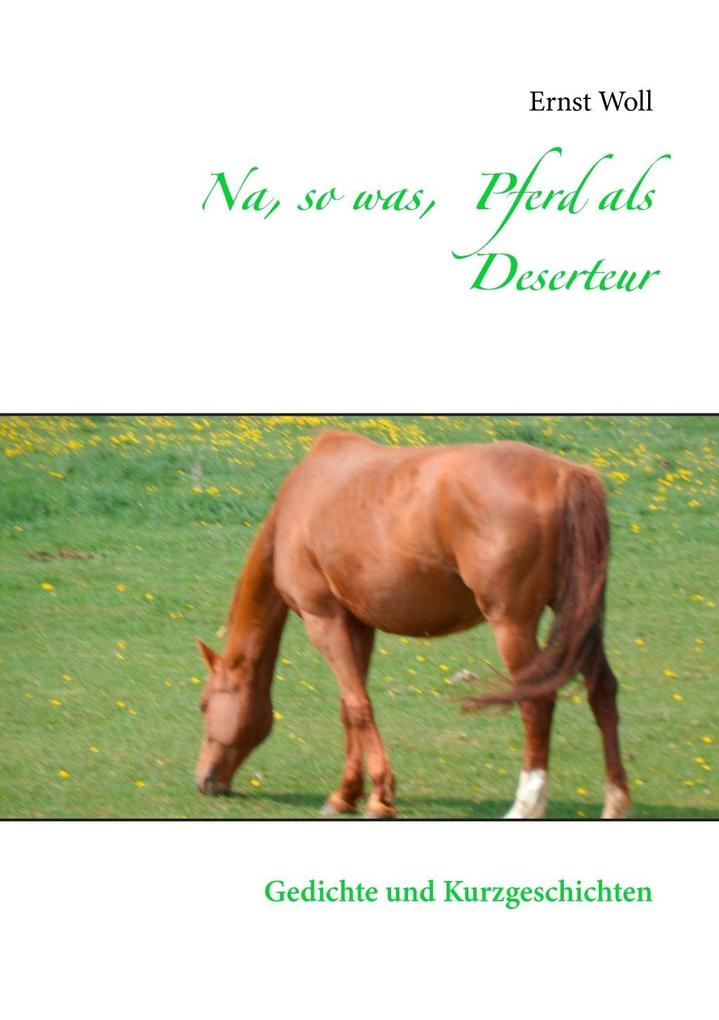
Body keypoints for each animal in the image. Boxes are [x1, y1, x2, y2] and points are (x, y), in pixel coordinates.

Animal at [194, 430, 632, 819]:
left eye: (203, 705)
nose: (204, 781)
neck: (299, 502)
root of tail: (566, 473)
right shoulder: (357, 625)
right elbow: (349, 707)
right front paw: (345, 795)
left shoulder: (325, 621)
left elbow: (359, 707)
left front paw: (379, 798)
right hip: (578, 616)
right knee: (602, 691)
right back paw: (615, 802)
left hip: (513, 625)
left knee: (537, 701)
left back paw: (526, 806)